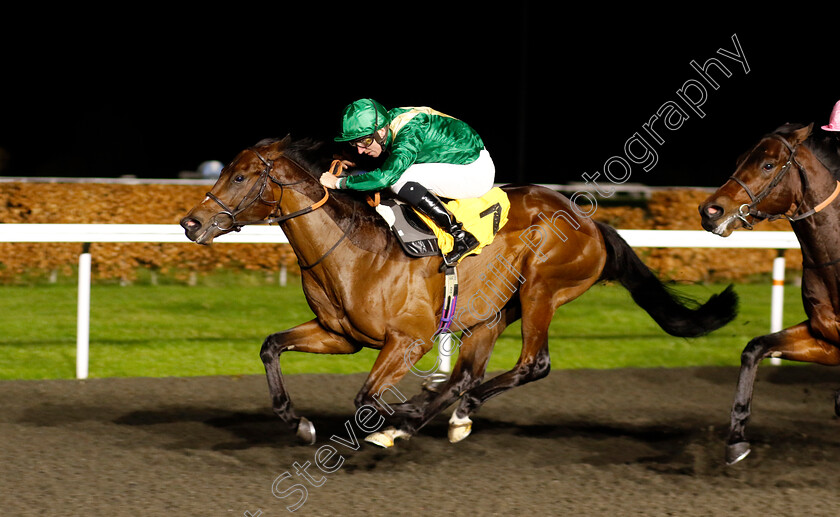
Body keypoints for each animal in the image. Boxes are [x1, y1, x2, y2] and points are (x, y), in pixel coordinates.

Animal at [182, 135, 736, 446]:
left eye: (242, 176)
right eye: (226, 171)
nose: (191, 222)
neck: (354, 251)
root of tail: (589, 221)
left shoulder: (408, 341)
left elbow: (366, 396)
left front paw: (395, 419)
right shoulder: (339, 334)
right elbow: (271, 346)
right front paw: (299, 423)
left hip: (540, 289)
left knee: (531, 364)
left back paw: (431, 415)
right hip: (492, 311)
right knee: (470, 374)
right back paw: (449, 413)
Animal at [700, 123, 840, 466]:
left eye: (767, 164)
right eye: (740, 159)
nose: (710, 211)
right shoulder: (826, 340)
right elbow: (755, 348)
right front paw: (736, 440)